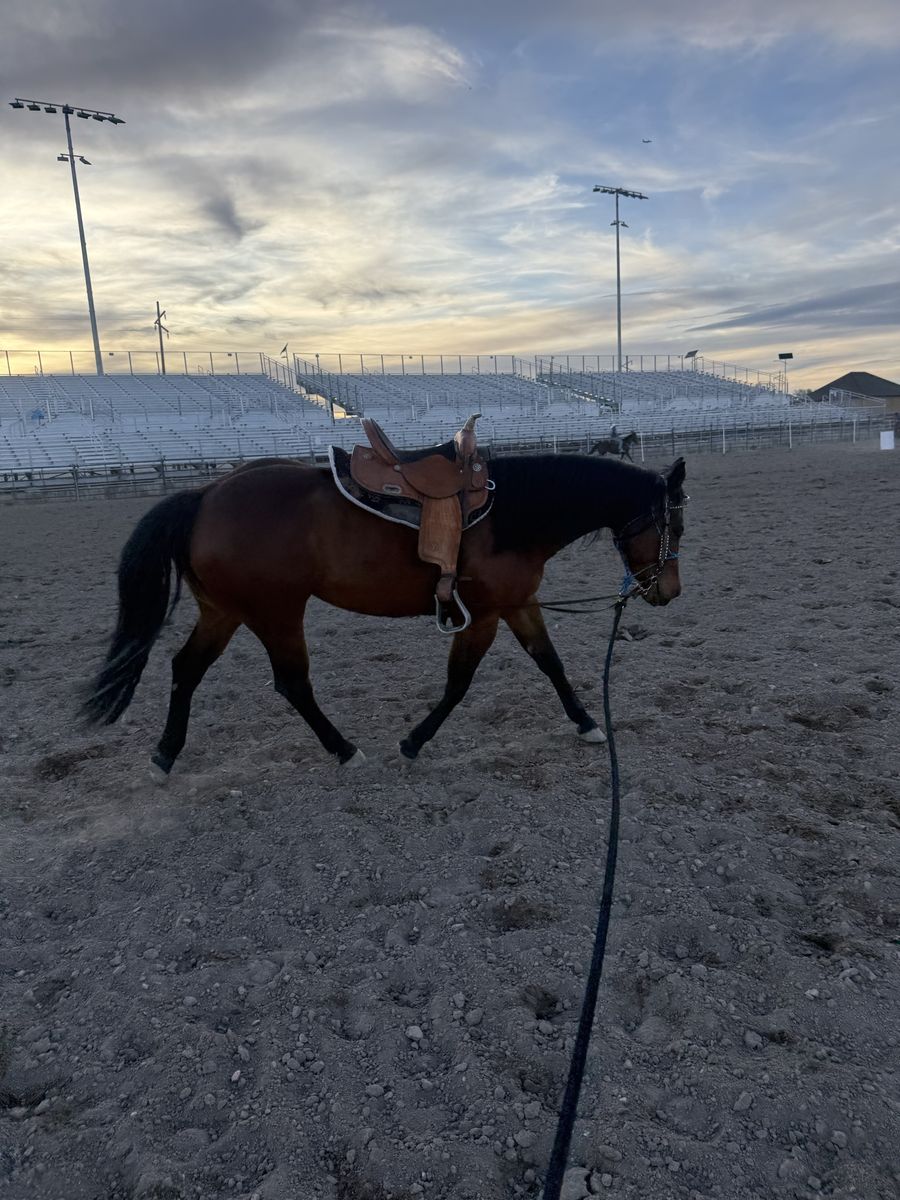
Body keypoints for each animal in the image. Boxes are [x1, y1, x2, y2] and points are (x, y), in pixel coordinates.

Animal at [83, 451, 686, 770]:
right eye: (674, 525)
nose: (670, 592)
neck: (510, 515)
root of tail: (206, 494)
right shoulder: (485, 614)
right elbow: (459, 683)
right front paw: (414, 741)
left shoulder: (516, 604)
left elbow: (549, 662)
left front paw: (587, 723)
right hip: (276, 612)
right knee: (292, 683)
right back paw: (343, 749)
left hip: (225, 611)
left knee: (186, 668)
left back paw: (166, 753)